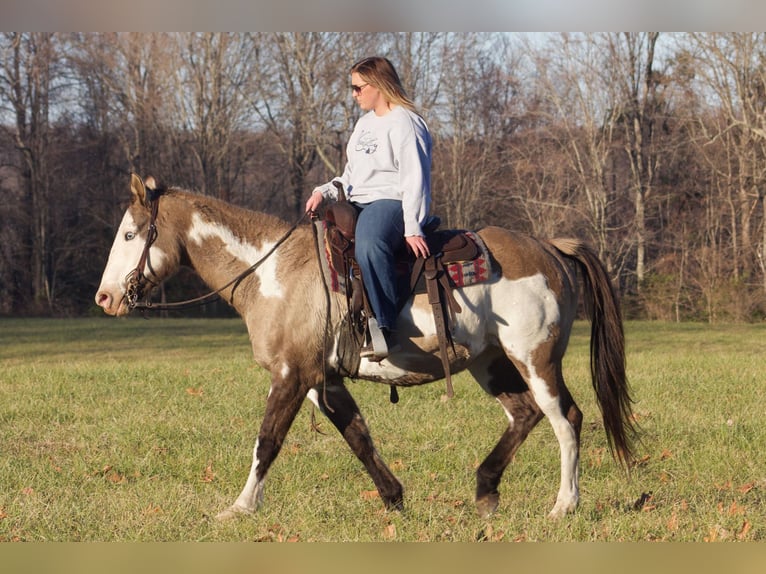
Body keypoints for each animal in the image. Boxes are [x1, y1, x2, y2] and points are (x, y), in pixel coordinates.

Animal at [94, 174, 636, 520]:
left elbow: (267, 441)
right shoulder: (323, 381)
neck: (273, 273)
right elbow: (358, 437)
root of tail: (550, 248)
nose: (104, 298)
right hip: (490, 362)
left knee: (566, 418)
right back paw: (486, 490)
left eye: (131, 233)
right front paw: (394, 499)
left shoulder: (291, 375)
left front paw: (241, 507)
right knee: (524, 414)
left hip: (536, 359)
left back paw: (564, 505)